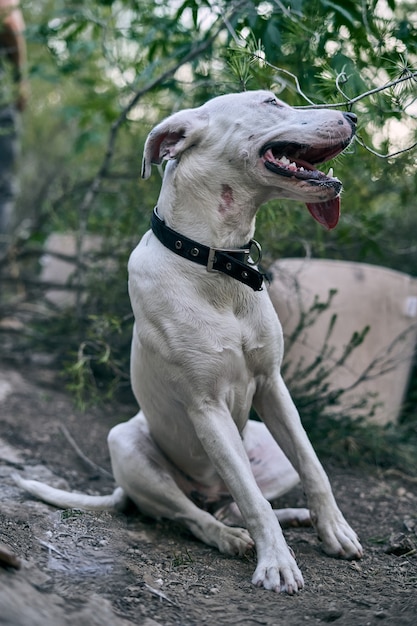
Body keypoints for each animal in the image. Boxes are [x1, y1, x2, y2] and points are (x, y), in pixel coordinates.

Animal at [13, 90, 360, 592]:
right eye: (271, 100)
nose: (353, 116)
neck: (215, 263)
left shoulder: (272, 384)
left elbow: (313, 466)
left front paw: (333, 530)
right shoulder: (206, 407)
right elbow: (251, 500)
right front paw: (276, 563)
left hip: (266, 448)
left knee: (235, 501)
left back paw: (293, 516)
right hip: (127, 445)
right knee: (194, 514)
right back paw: (230, 537)